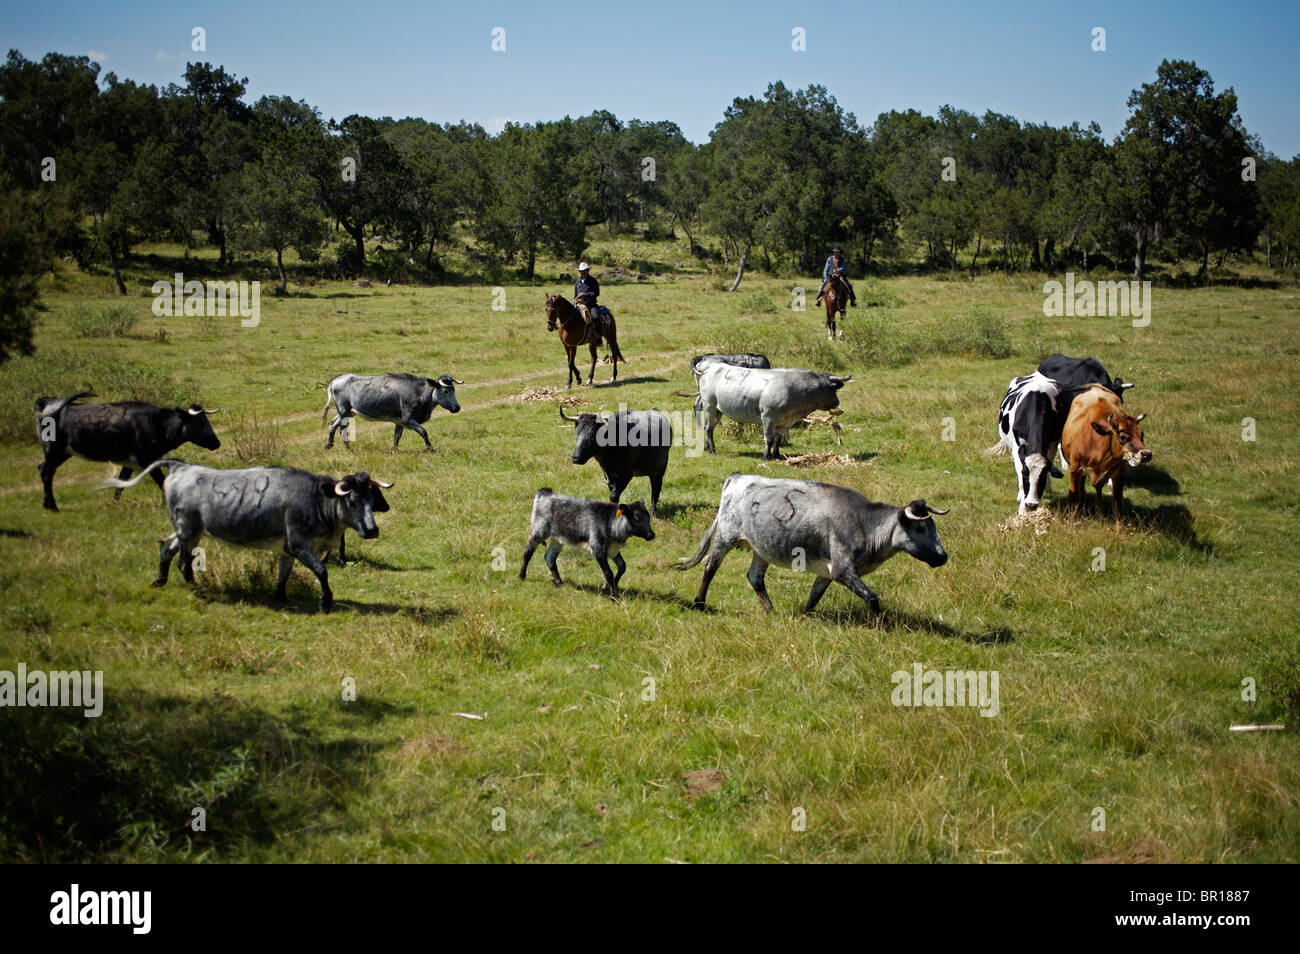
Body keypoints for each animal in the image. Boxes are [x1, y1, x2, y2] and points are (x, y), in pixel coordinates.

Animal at [33, 389, 220, 514]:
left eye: (206, 420)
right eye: (199, 422)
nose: (216, 443)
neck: (157, 423)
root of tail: (46, 402)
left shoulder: (130, 462)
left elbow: (121, 483)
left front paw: (114, 504)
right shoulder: (148, 460)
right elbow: (162, 482)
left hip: (63, 452)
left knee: (44, 470)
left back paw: (46, 504)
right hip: (53, 450)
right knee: (46, 473)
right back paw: (53, 506)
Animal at [696, 366, 847, 460]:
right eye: (832, 389)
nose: (837, 402)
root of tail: (709, 368)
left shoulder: (782, 421)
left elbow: (777, 439)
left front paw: (776, 455)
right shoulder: (768, 418)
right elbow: (768, 438)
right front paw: (766, 456)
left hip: (718, 410)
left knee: (708, 427)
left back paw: (706, 447)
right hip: (709, 406)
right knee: (709, 429)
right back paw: (712, 449)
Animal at [1060, 387, 1154, 522]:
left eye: (1142, 434)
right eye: (1123, 437)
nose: (1146, 454)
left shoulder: (1119, 474)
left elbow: (1118, 505)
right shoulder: (1075, 469)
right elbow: (1072, 496)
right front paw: (1071, 519)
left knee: (1098, 489)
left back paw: (1099, 510)